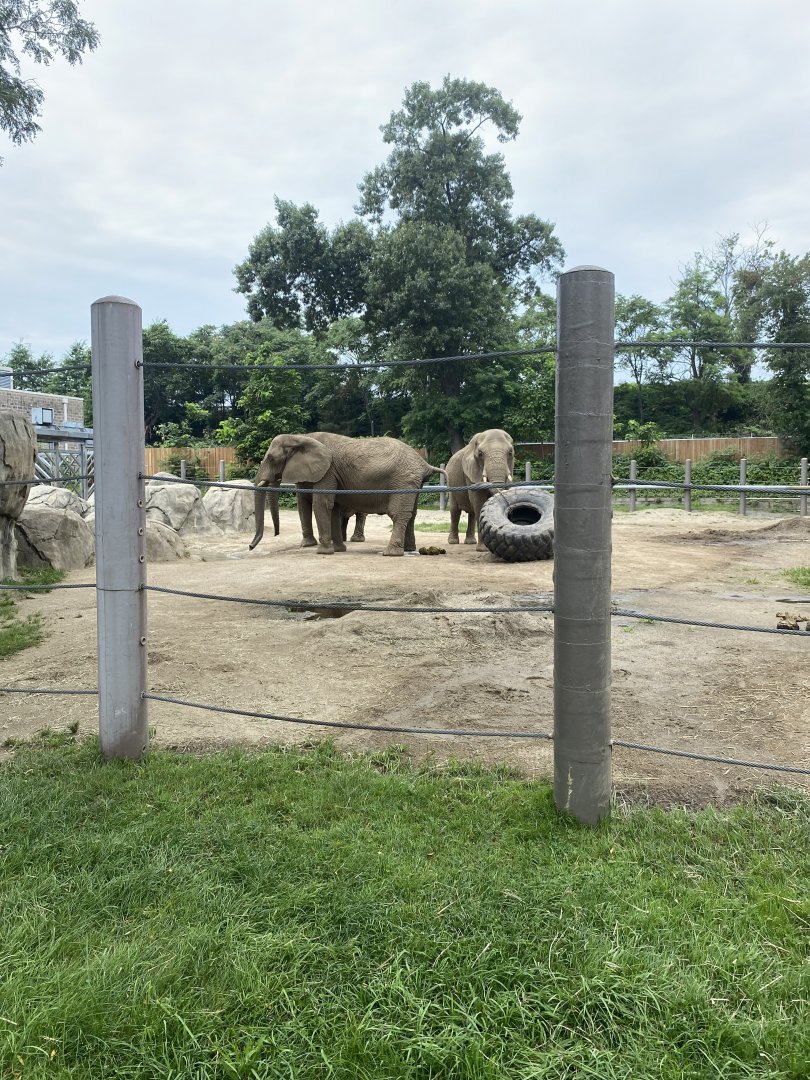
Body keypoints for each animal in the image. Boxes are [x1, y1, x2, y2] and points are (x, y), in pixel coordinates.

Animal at [249, 432, 445, 556]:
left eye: (271, 459)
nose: (251, 547)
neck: (301, 437)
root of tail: (424, 463)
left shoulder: (327, 471)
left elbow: (322, 503)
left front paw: (323, 552)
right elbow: (333, 506)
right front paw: (338, 550)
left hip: (403, 480)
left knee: (398, 513)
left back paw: (391, 553)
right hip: (413, 483)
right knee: (412, 514)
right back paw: (408, 550)